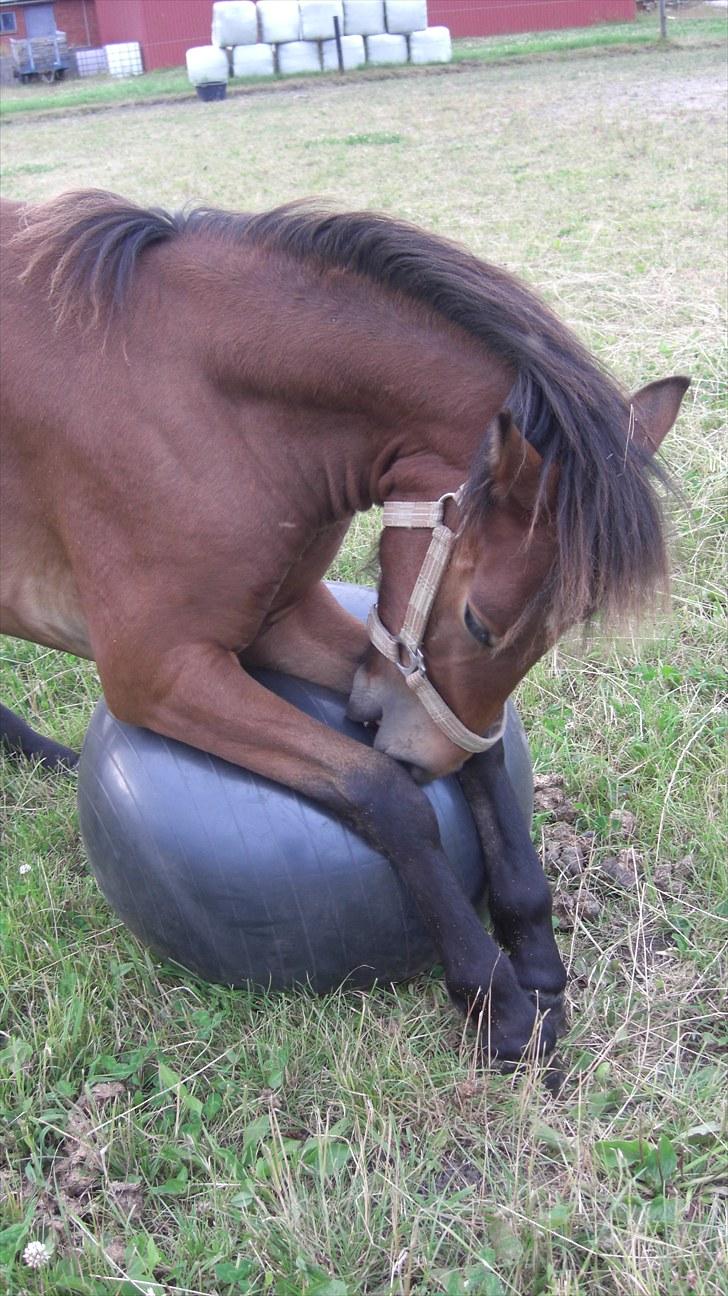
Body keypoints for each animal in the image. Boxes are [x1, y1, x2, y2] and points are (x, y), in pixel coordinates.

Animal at [0, 189, 683, 1062]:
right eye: (480, 622)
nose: (417, 751)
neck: (199, 400)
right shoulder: (155, 669)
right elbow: (383, 793)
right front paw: (494, 997)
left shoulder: (288, 623)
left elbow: (480, 753)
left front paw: (533, 949)